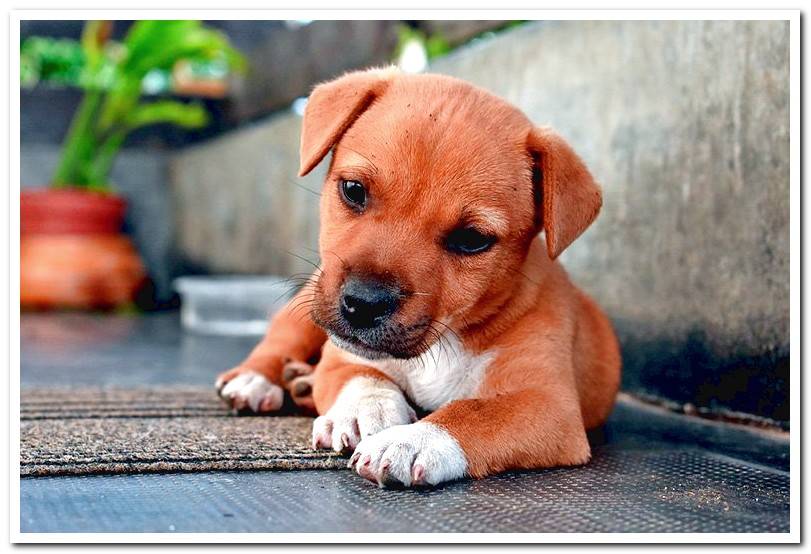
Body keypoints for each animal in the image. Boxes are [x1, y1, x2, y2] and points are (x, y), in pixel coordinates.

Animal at [216, 67, 620, 486]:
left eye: (472, 239)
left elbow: (474, 412)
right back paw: (256, 379)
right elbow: (364, 377)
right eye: (353, 190)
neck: (447, 337)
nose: (363, 304)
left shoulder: (547, 404)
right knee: (280, 340)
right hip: (307, 308)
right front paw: (367, 411)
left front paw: (411, 441)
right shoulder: (341, 358)